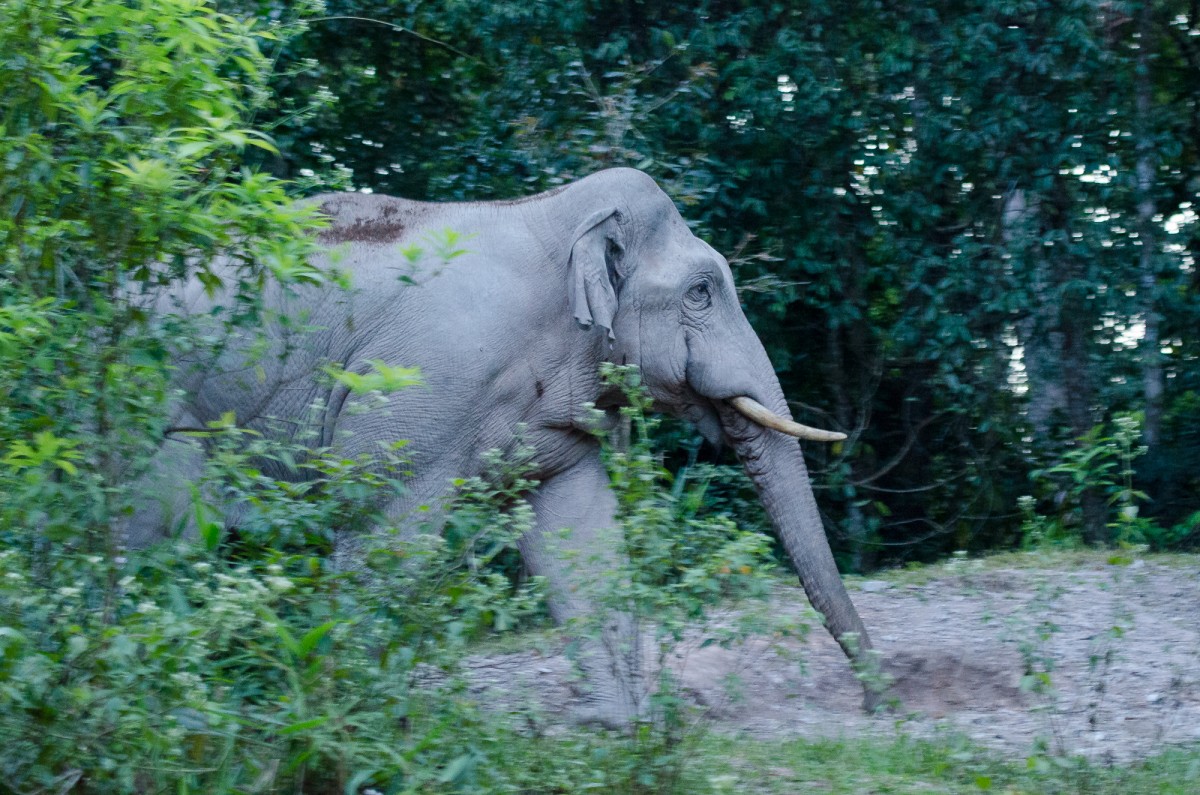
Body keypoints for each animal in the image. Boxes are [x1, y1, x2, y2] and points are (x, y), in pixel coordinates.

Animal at [133, 169, 883, 730]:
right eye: (702, 290)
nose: (880, 702)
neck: (550, 214)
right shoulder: (423, 381)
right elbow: (383, 530)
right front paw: (354, 721)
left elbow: (579, 530)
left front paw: (612, 724)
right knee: (151, 539)